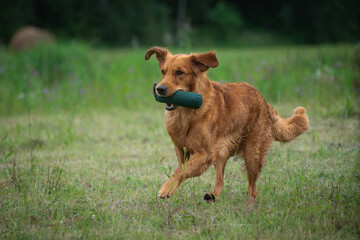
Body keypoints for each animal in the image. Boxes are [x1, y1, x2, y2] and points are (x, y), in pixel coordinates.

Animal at [145, 47, 308, 206]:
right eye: (163, 71)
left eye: (179, 72)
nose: (159, 89)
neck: (186, 113)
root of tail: (265, 102)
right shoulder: (180, 147)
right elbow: (181, 167)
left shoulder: (206, 152)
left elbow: (180, 170)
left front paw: (166, 189)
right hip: (221, 153)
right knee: (221, 181)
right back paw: (212, 196)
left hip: (252, 154)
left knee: (252, 188)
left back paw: (248, 207)